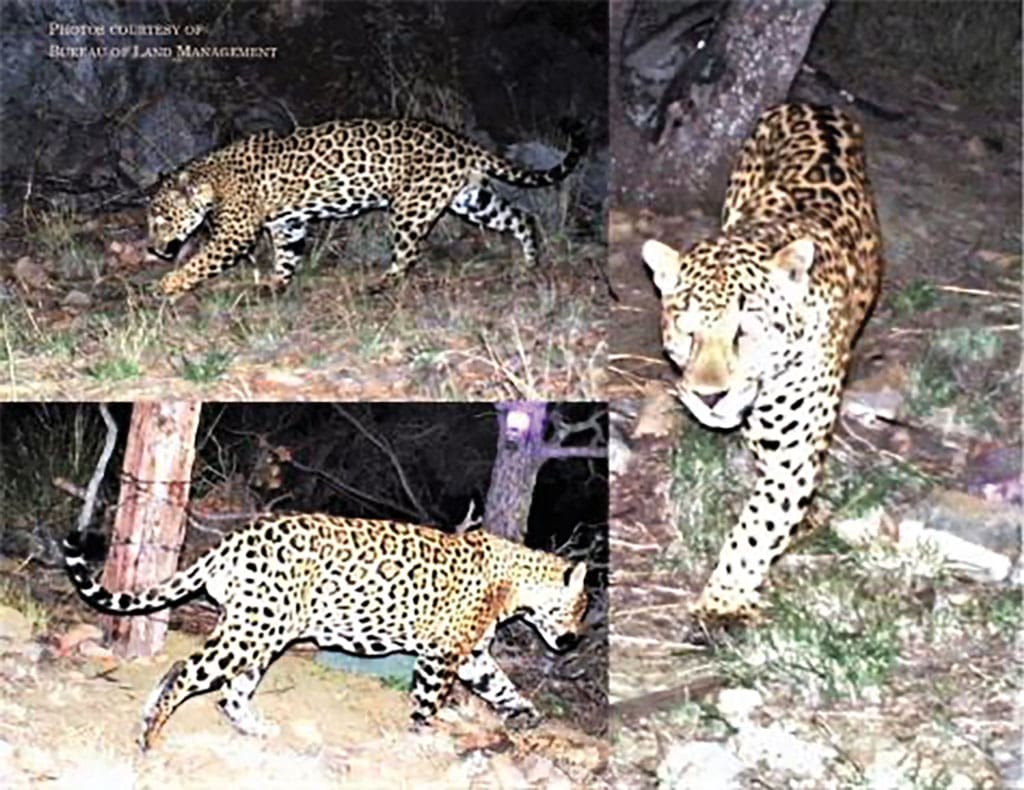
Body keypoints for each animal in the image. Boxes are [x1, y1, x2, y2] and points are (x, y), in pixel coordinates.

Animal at [62, 513, 589, 751]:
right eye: (580, 608)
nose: (572, 641)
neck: (517, 583)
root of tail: (234, 540)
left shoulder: (473, 654)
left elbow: (501, 685)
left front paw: (527, 712)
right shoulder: (442, 655)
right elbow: (429, 699)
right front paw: (423, 732)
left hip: (261, 632)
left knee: (229, 693)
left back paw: (254, 728)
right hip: (253, 631)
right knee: (185, 669)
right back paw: (150, 733)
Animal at [148, 118, 587, 296]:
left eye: (161, 219)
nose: (153, 248)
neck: (210, 179)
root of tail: (461, 142)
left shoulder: (235, 235)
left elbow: (200, 262)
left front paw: (166, 285)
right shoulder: (288, 226)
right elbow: (287, 257)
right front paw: (276, 285)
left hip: (410, 208)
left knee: (409, 254)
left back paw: (380, 285)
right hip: (471, 199)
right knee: (521, 216)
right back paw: (531, 263)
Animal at [641, 103, 883, 621]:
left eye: (744, 332)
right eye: (688, 332)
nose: (710, 397)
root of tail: (812, 103)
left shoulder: (794, 446)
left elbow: (759, 522)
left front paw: (724, 599)